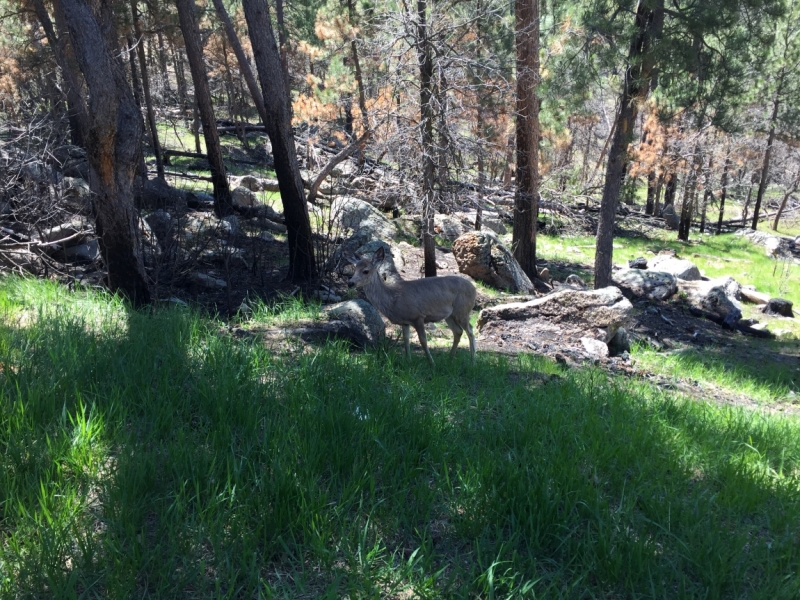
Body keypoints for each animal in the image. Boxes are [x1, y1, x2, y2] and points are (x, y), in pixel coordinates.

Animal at [348, 245, 476, 366]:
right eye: (354, 269)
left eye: (366, 271)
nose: (350, 283)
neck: (393, 299)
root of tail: (473, 288)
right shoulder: (405, 322)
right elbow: (406, 340)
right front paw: (408, 361)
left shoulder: (418, 316)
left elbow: (423, 340)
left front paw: (432, 363)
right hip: (450, 315)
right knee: (458, 331)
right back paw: (450, 359)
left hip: (463, 309)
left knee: (470, 330)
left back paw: (472, 360)